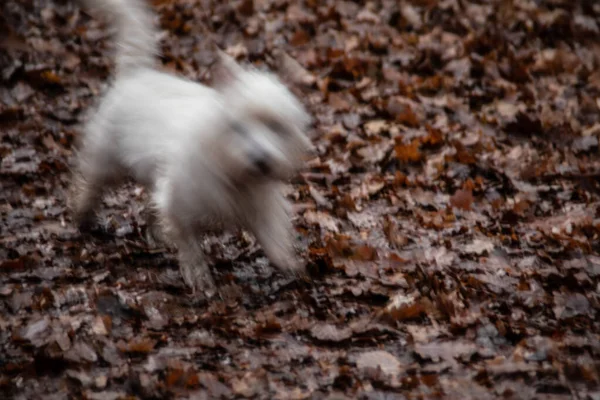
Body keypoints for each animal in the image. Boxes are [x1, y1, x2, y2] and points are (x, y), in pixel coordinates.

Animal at [69, 0, 314, 296]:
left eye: (276, 127)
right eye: (238, 127)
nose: (261, 159)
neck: (234, 174)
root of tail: (136, 73)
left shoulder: (262, 207)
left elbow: (274, 237)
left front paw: (290, 265)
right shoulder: (180, 206)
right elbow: (189, 246)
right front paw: (200, 279)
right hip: (107, 161)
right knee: (91, 185)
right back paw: (83, 215)